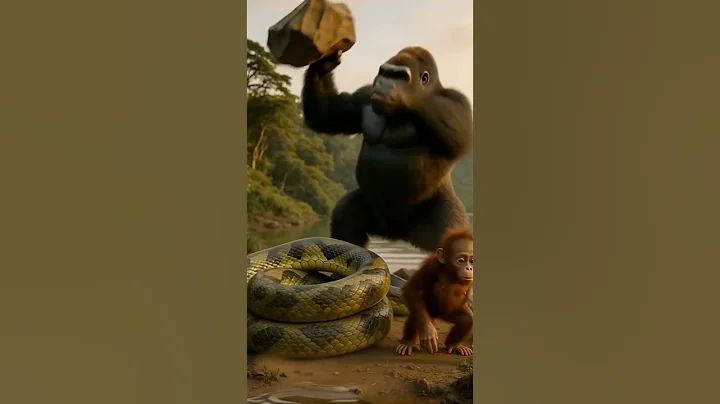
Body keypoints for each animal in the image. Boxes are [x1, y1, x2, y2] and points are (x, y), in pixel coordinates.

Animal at [301, 46, 473, 252]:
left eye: (399, 76)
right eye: (385, 73)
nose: (383, 83)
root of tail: (397, 234)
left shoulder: (458, 101)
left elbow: (461, 135)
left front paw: (403, 95)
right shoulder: (364, 95)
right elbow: (327, 115)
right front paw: (323, 64)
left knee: (453, 234)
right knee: (346, 219)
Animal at [395, 227, 474, 356]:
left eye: (472, 261)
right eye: (461, 260)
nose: (469, 268)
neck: (451, 273)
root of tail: (437, 315)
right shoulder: (431, 266)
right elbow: (412, 288)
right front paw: (428, 331)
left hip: (450, 313)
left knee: (466, 319)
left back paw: (453, 345)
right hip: (429, 309)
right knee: (416, 313)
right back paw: (408, 342)